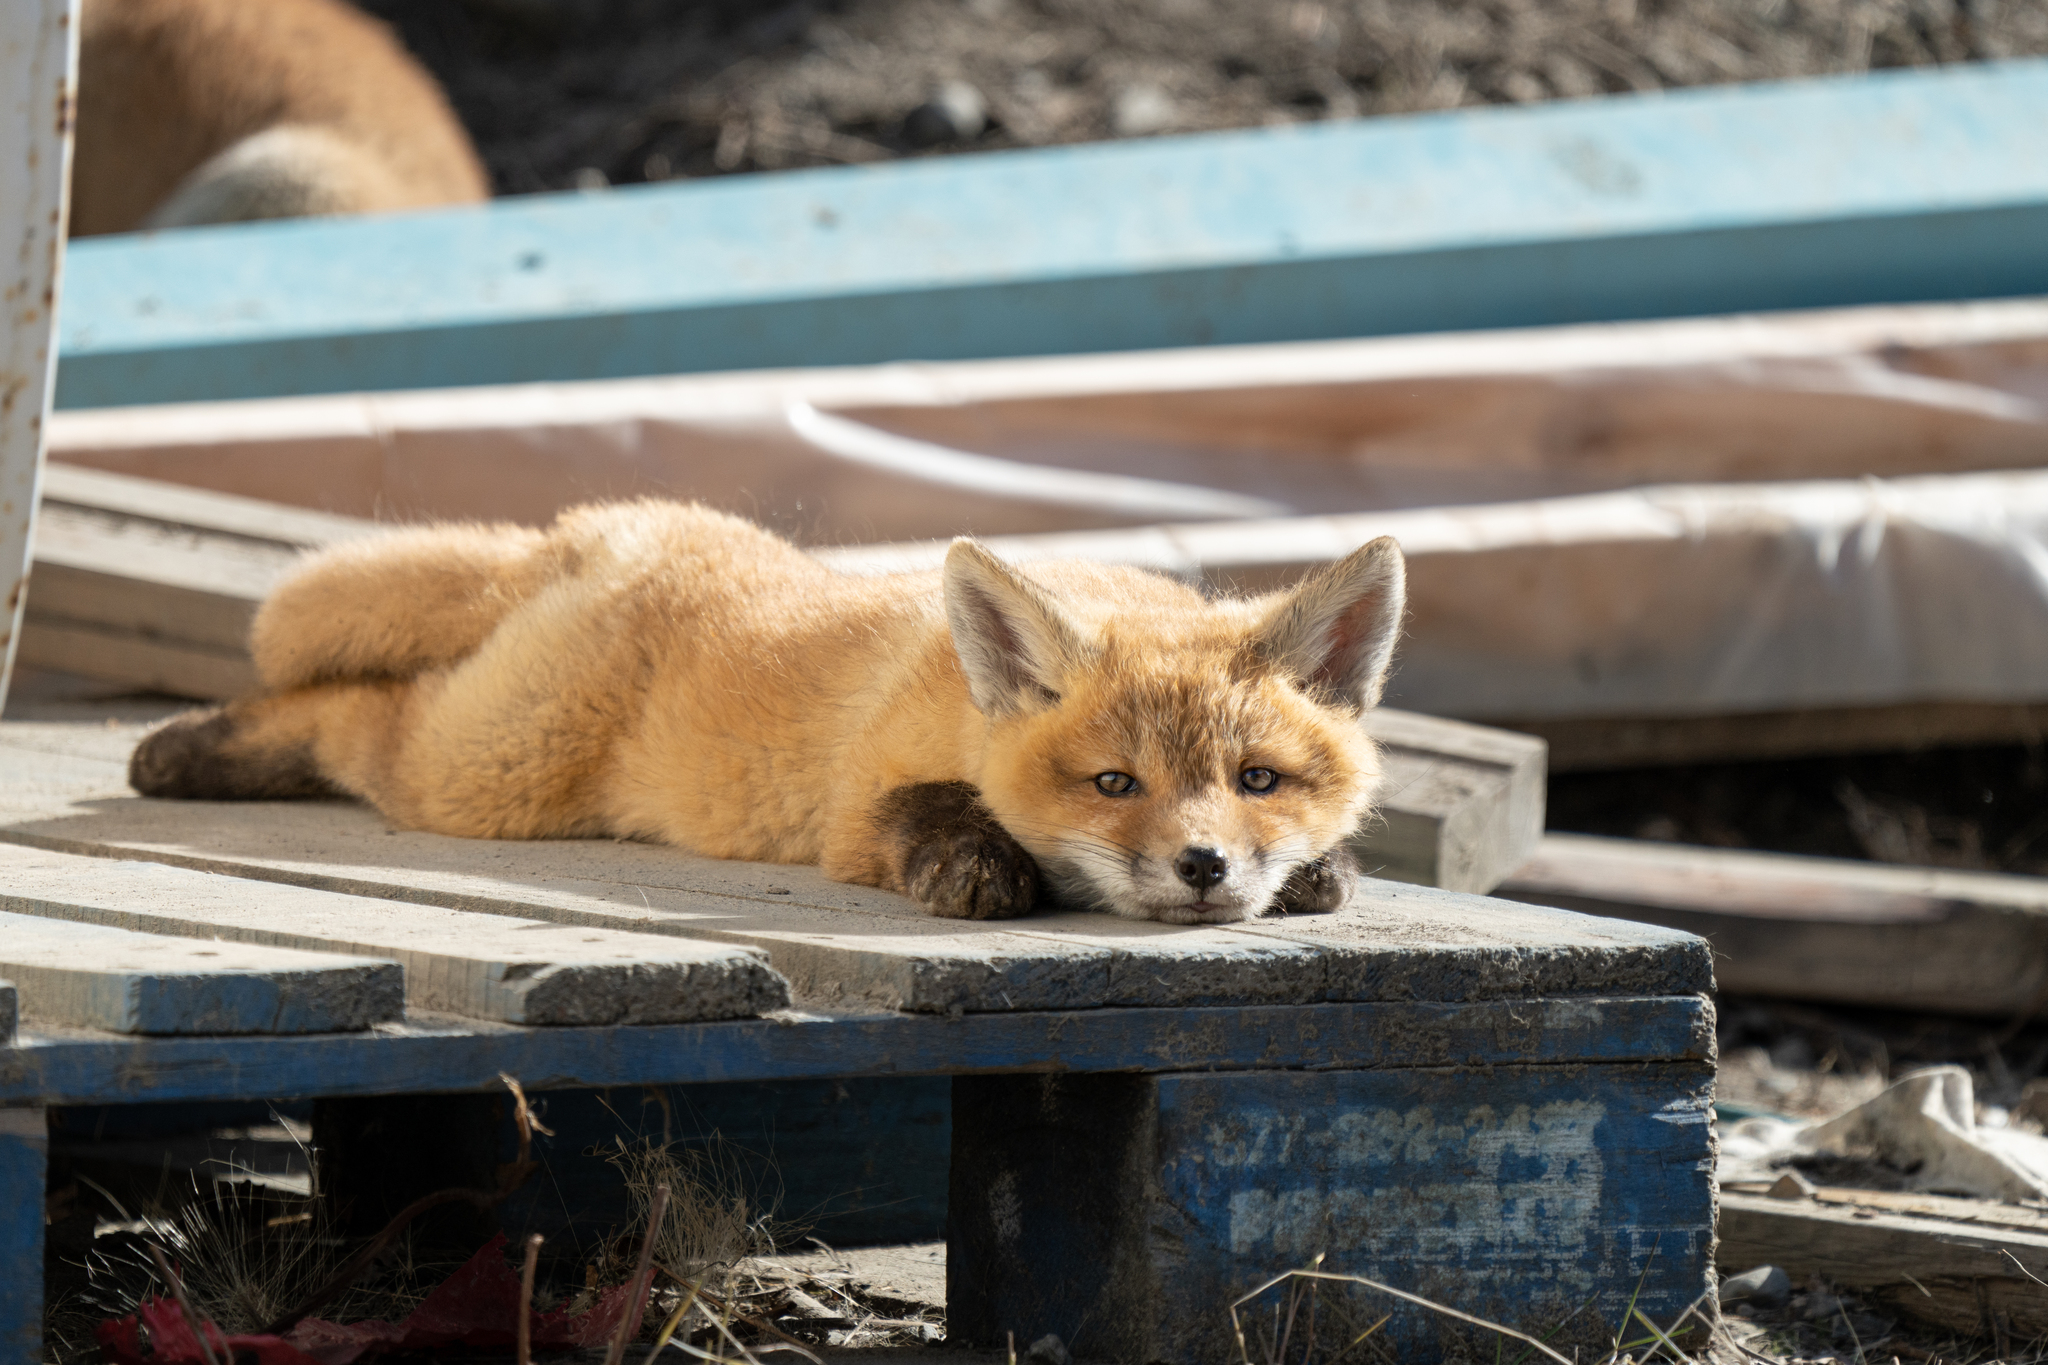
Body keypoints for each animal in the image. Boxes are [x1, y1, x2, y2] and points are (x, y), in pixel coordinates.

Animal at [132, 501, 1409, 929]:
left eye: (1255, 781)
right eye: (1113, 785)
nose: (1201, 868)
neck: (959, 700)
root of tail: (606, 526)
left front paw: (1313, 871)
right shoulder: (854, 804)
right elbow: (925, 809)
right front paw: (974, 860)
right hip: (490, 771)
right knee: (353, 714)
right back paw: (188, 750)